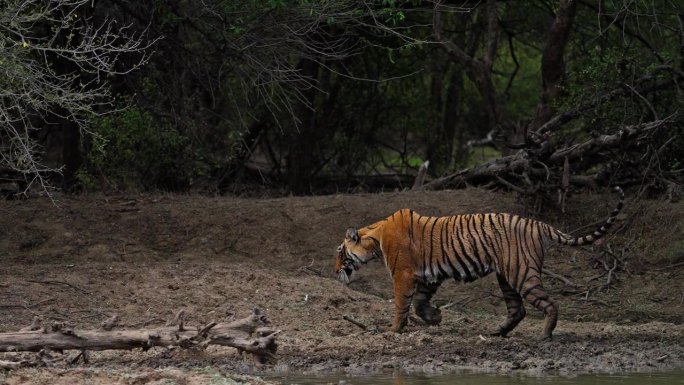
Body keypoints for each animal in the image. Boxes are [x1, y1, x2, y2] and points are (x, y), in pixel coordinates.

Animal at [334, 187, 624, 340]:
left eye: (340, 252)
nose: (335, 270)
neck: (375, 237)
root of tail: (538, 224)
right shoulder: (429, 275)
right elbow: (419, 302)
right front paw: (435, 317)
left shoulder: (402, 275)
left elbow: (401, 304)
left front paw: (393, 329)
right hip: (506, 276)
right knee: (517, 309)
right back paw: (497, 332)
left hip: (522, 274)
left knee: (549, 303)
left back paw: (544, 334)